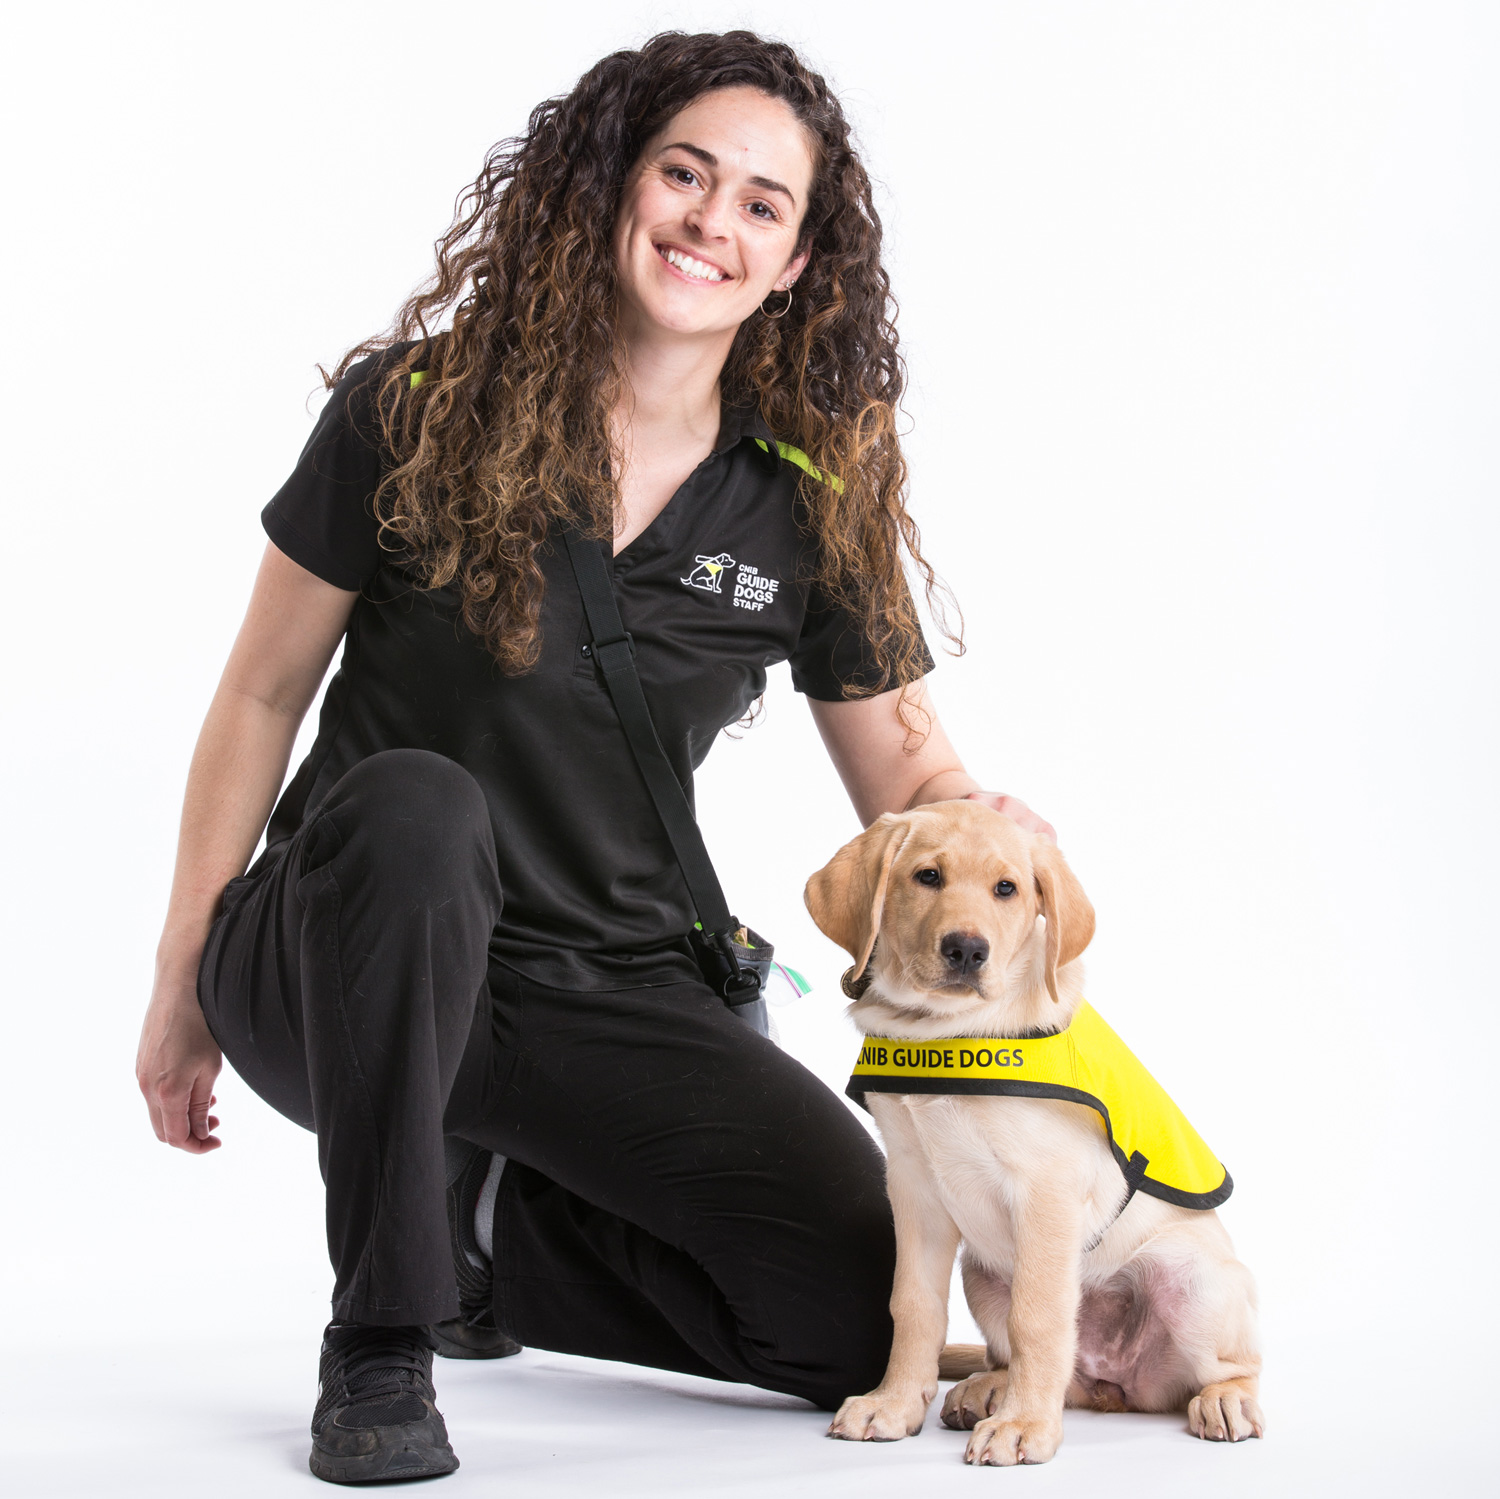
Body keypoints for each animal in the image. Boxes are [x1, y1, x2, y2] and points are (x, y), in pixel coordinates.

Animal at [804, 804, 1260, 1470]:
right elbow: (913, 1306)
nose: (967, 949)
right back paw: (988, 1389)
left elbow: (1038, 1318)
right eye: (927, 876)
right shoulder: (913, 1189)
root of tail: (1119, 1386)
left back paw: (1224, 1398)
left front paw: (1024, 1427)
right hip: (982, 1272)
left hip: (1193, 1280)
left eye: (1007, 889)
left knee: (1232, 1366)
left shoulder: (1046, 1190)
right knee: (1038, 1366)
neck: (944, 1031)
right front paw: (894, 1404)